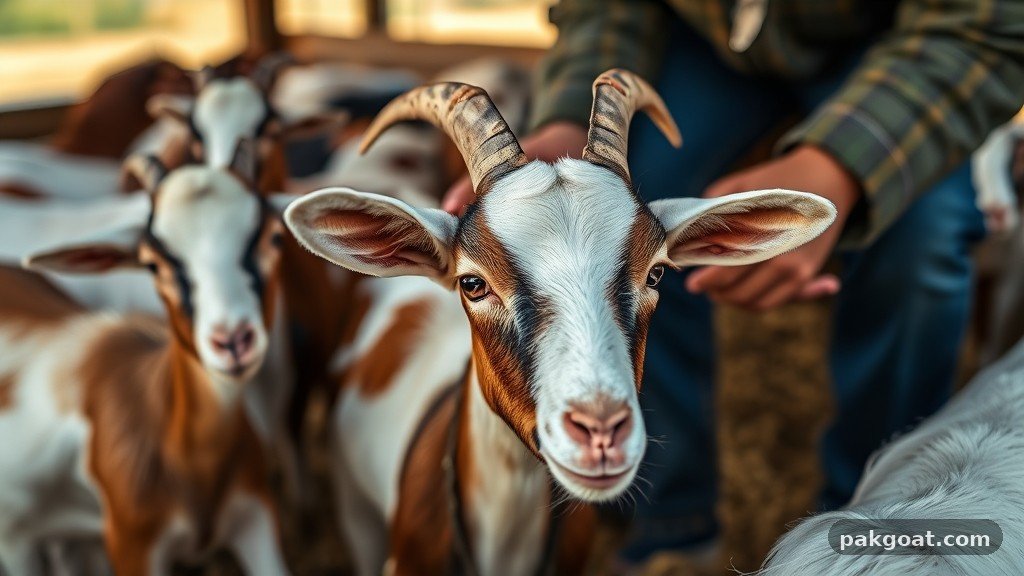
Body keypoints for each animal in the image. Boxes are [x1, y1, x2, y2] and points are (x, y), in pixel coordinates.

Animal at [0, 147, 292, 575]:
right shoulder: (132, 548)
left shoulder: (255, 519)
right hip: (17, 546)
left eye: (274, 237)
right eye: (153, 264)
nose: (232, 341)